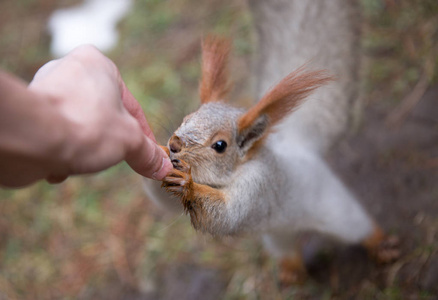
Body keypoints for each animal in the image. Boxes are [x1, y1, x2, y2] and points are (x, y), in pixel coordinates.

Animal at [145, 1, 400, 284]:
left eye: (220, 145)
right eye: (186, 118)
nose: (174, 143)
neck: (234, 172)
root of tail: (302, 148)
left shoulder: (261, 183)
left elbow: (229, 212)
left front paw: (186, 183)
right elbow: (166, 204)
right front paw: (155, 152)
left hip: (338, 211)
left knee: (360, 227)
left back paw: (381, 244)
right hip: (278, 237)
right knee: (289, 252)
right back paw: (291, 273)